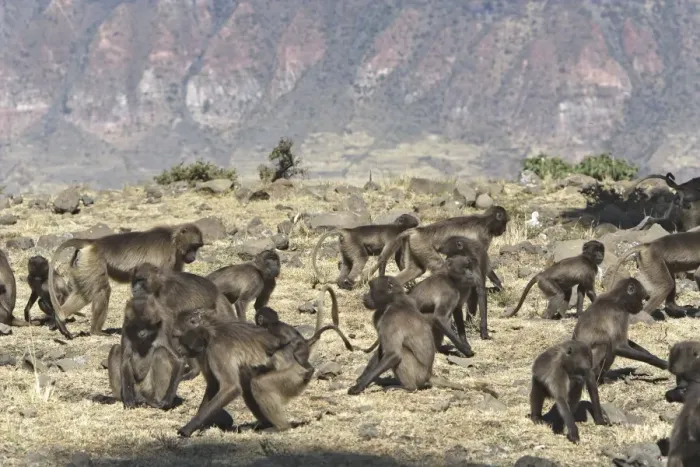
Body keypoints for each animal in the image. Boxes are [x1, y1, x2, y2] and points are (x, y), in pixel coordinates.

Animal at [48, 223, 204, 339]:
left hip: (81, 263)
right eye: (193, 246)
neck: (173, 239)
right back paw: (95, 331)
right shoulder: (167, 256)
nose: (193, 257)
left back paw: (61, 317)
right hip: (93, 261)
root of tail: (94, 242)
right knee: (102, 290)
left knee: (83, 294)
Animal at [171, 308, 311, 437]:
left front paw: (188, 428)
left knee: (259, 384)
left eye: (179, 337)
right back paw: (265, 424)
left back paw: (280, 428)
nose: (178, 349)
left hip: (292, 376)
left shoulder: (218, 348)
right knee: (248, 388)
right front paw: (199, 426)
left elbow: (231, 387)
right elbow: (213, 384)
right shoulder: (203, 351)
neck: (210, 330)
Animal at [349, 276, 496, 396]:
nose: (364, 296)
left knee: (402, 353)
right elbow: (380, 350)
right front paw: (362, 378)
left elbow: (393, 354)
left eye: (371, 288)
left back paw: (407, 387)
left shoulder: (390, 319)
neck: (395, 301)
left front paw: (358, 387)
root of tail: (428, 375)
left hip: (418, 374)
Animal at [364, 206, 509, 288]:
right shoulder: (483, 236)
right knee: (441, 268)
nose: (504, 230)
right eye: (504, 222)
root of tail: (418, 231)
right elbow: (481, 261)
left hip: (415, 245)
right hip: (423, 246)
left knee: (416, 270)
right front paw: (499, 286)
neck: (485, 221)